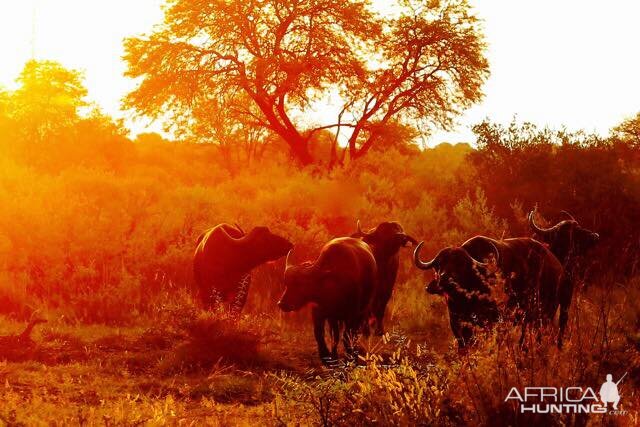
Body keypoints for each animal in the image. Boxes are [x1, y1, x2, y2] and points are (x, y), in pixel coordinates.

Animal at [416, 236, 568, 350]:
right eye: (439, 264)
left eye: (461, 265)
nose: (445, 279)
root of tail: (557, 265)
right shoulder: (456, 324)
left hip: (547, 313)